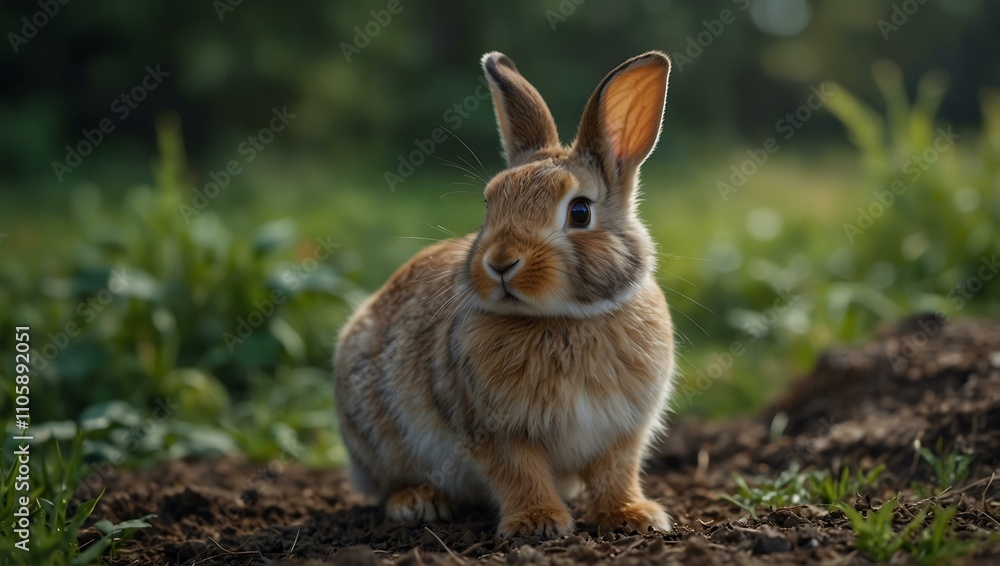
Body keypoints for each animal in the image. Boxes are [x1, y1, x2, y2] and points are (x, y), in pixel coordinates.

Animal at [334, 50, 676, 538]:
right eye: (489, 203)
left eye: (580, 211)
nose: (499, 262)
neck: (565, 319)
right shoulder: (494, 429)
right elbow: (518, 472)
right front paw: (539, 523)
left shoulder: (623, 431)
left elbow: (617, 473)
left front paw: (634, 516)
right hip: (377, 435)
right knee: (385, 486)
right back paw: (417, 502)